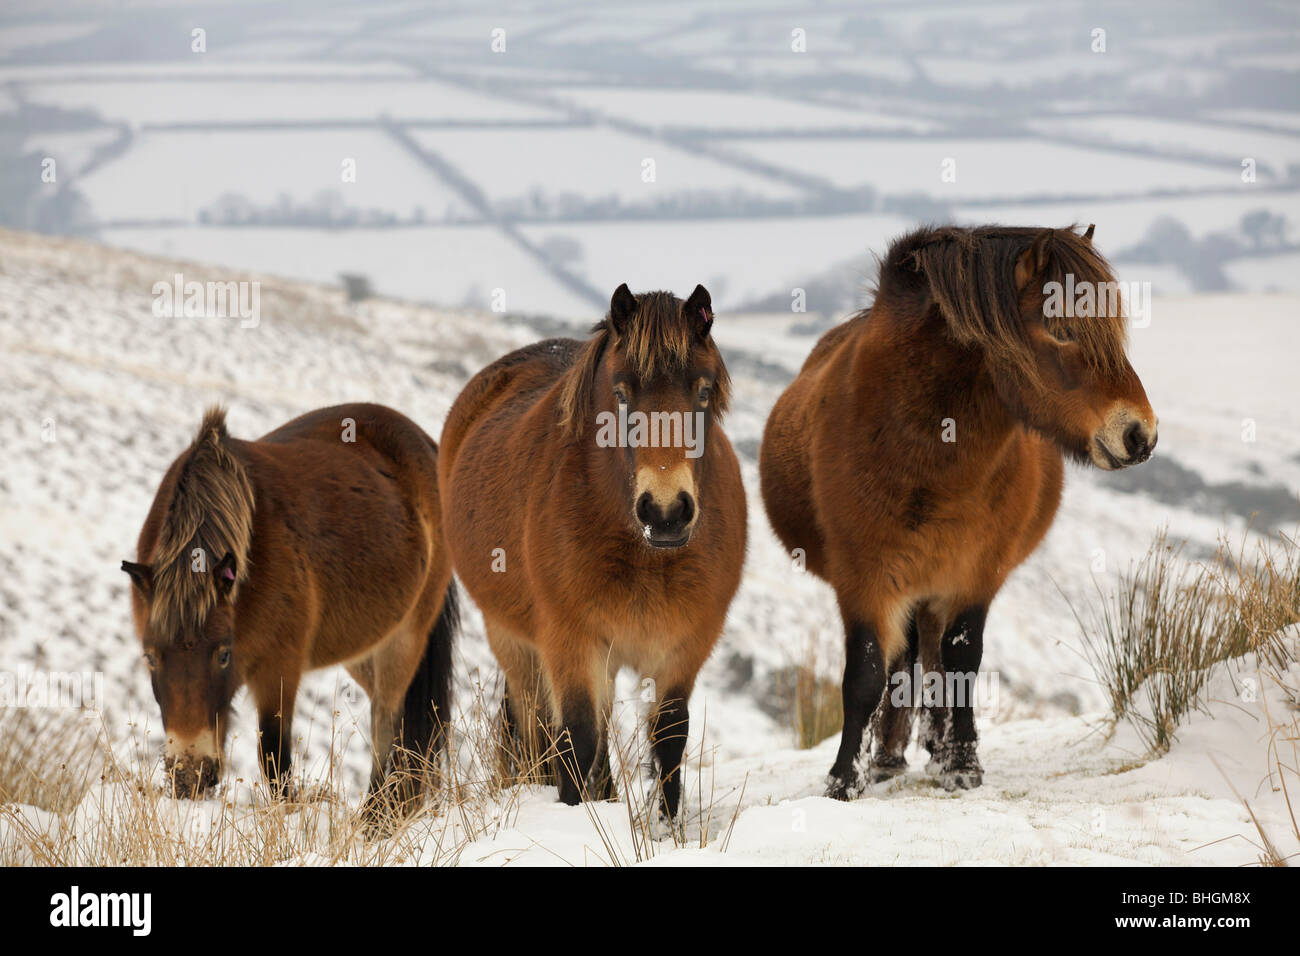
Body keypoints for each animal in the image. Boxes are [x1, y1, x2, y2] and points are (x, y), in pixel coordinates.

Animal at [122, 400, 457, 816]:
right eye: (150, 658)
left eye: (223, 655)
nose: (189, 774)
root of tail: (426, 444)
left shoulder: (279, 668)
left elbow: (274, 760)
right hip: (365, 651)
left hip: (405, 639)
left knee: (388, 727)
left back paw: (375, 819)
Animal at [439, 283, 748, 822]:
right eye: (621, 395)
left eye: (703, 391)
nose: (665, 511)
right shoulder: (572, 643)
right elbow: (577, 742)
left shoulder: (684, 648)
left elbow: (669, 739)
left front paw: (667, 828)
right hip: (514, 642)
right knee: (540, 725)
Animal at [759, 226, 1159, 801]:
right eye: (1060, 330)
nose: (1139, 434)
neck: (924, 448)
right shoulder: (864, 577)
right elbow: (866, 675)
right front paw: (843, 780)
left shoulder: (977, 572)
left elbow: (962, 662)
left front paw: (962, 763)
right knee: (904, 659)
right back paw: (887, 759)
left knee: (930, 656)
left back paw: (930, 747)